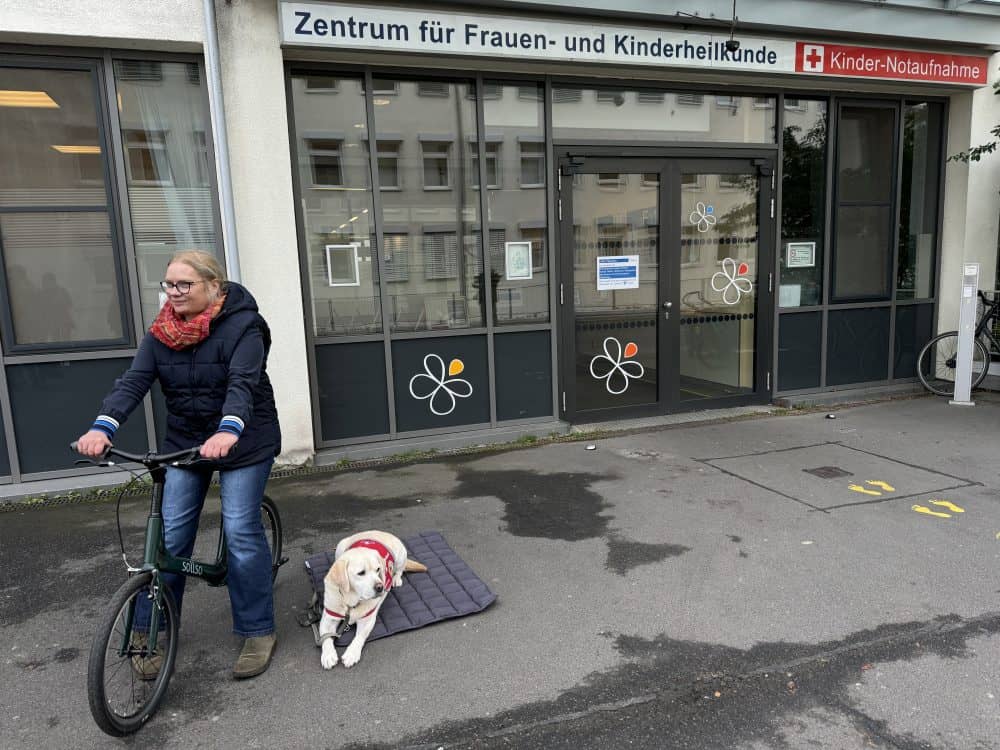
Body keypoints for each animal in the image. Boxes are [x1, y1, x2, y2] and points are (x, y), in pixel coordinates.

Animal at [320, 532, 426, 672]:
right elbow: (326, 637)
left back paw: (396, 579)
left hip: (401, 555)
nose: (380, 587)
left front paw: (352, 653)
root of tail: (380, 532)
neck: (351, 602)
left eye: (378, 570)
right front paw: (328, 655)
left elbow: (359, 637)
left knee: (400, 570)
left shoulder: (367, 620)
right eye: (361, 573)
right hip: (340, 546)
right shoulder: (328, 618)